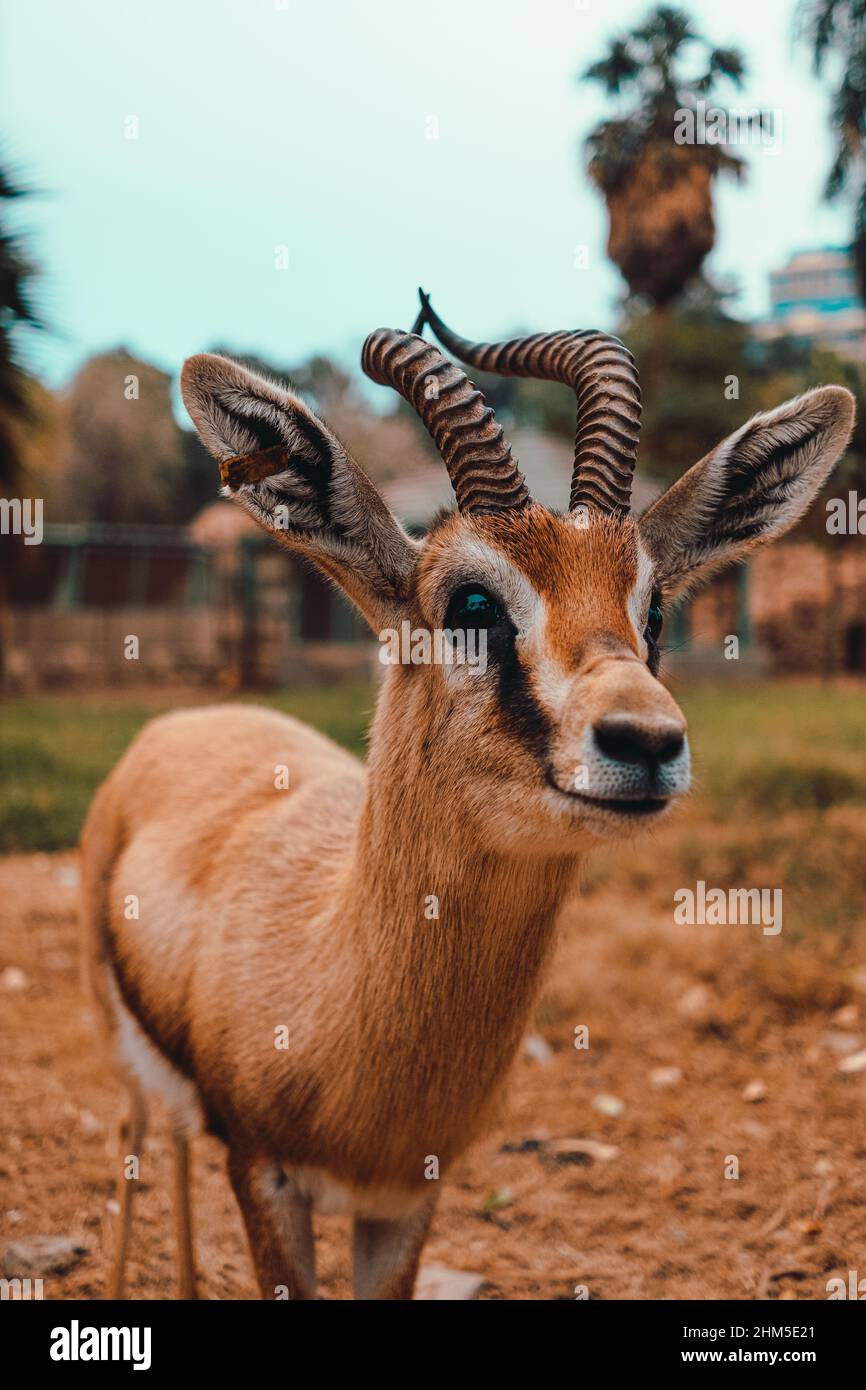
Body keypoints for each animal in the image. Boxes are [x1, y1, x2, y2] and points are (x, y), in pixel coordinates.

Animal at [80, 291, 854, 1300]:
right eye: (473, 605)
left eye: (652, 611)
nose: (646, 742)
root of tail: (190, 719)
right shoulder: (265, 1174)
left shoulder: (408, 1197)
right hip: (125, 1054)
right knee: (141, 1140)